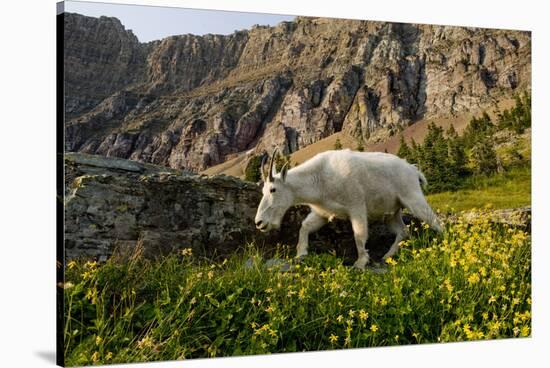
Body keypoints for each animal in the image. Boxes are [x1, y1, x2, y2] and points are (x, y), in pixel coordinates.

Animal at [256, 148, 446, 268]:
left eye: (273, 189)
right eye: (263, 190)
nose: (259, 223)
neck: (319, 180)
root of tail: (413, 170)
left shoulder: (356, 207)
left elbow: (359, 235)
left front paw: (360, 262)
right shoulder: (322, 213)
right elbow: (305, 227)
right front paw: (300, 254)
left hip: (412, 197)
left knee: (435, 221)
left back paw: (446, 243)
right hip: (392, 212)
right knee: (402, 230)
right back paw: (386, 256)